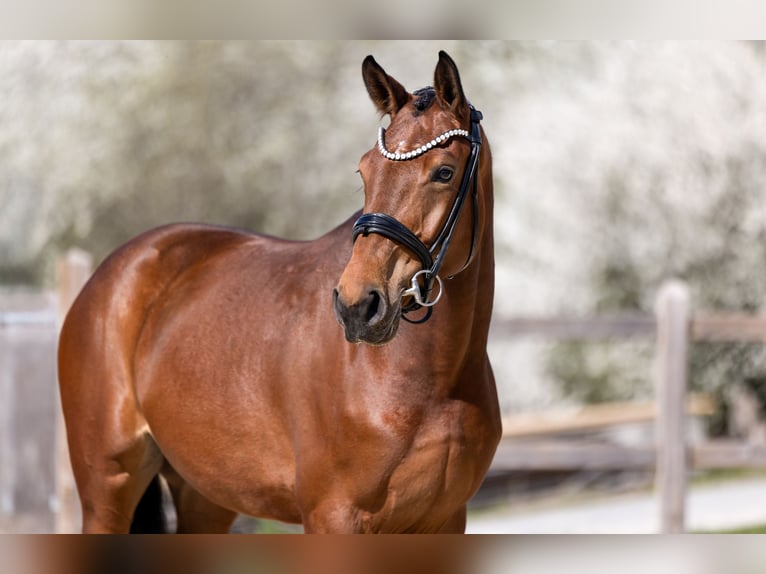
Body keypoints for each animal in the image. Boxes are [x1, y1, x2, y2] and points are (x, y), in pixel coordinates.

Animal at [57, 50, 501, 533]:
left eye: (444, 172)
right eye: (365, 170)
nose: (357, 305)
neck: (430, 380)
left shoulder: (445, 519)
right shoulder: (333, 517)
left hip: (203, 495)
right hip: (107, 491)